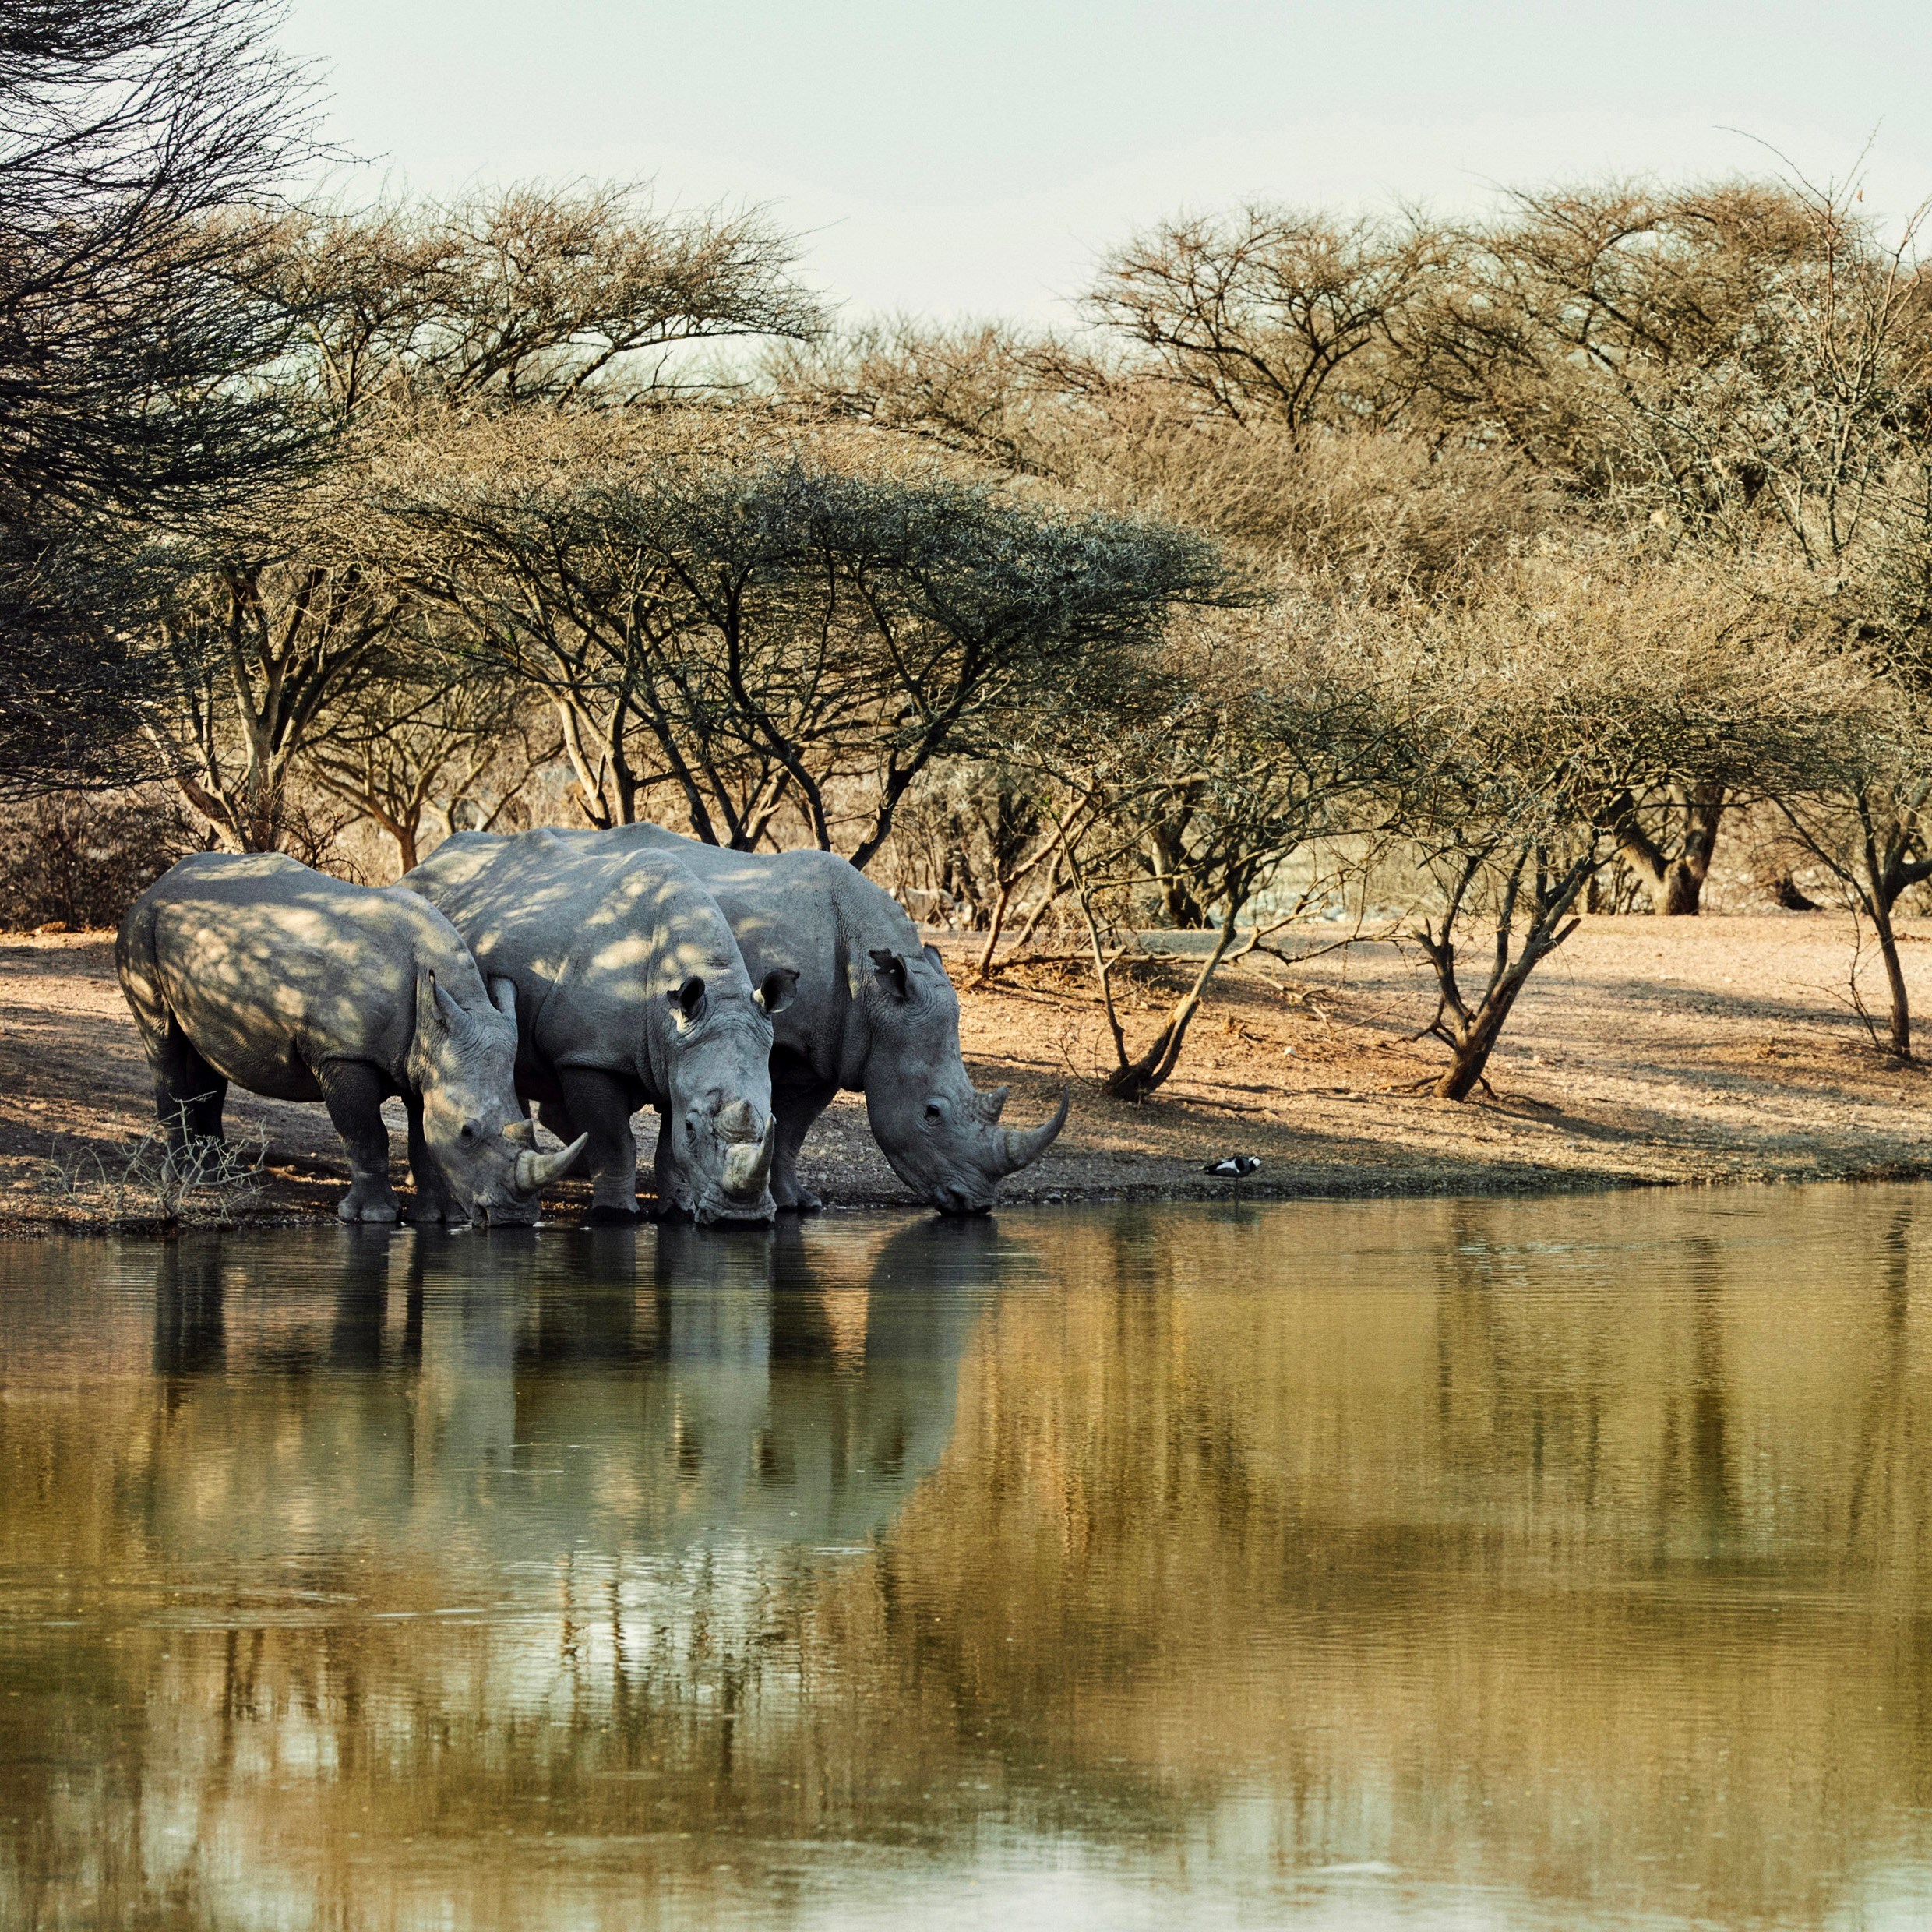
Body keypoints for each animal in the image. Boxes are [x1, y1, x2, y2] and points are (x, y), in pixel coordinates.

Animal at [116, 853, 584, 1226]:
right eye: (467, 1133)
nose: (514, 1219)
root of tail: (161, 881)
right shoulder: (342, 1054)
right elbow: (365, 1133)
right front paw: (372, 1217)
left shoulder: (427, 1057)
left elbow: (424, 1140)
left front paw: (437, 1219)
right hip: (141, 928)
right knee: (164, 1041)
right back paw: (183, 1176)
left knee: (206, 1055)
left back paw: (214, 1174)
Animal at [402, 829, 794, 1225]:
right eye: (692, 1127)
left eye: (770, 1117)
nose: (742, 1218)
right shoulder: (590, 1055)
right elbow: (614, 1141)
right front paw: (613, 1215)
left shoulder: (679, 1053)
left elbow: (670, 1151)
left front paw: (677, 1212)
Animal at [548, 824, 1069, 1215]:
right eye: (932, 1113)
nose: (975, 1204)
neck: (879, 996)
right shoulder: (784, 1039)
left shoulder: (832, 1051)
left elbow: (791, 1131)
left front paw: (799, 1204)